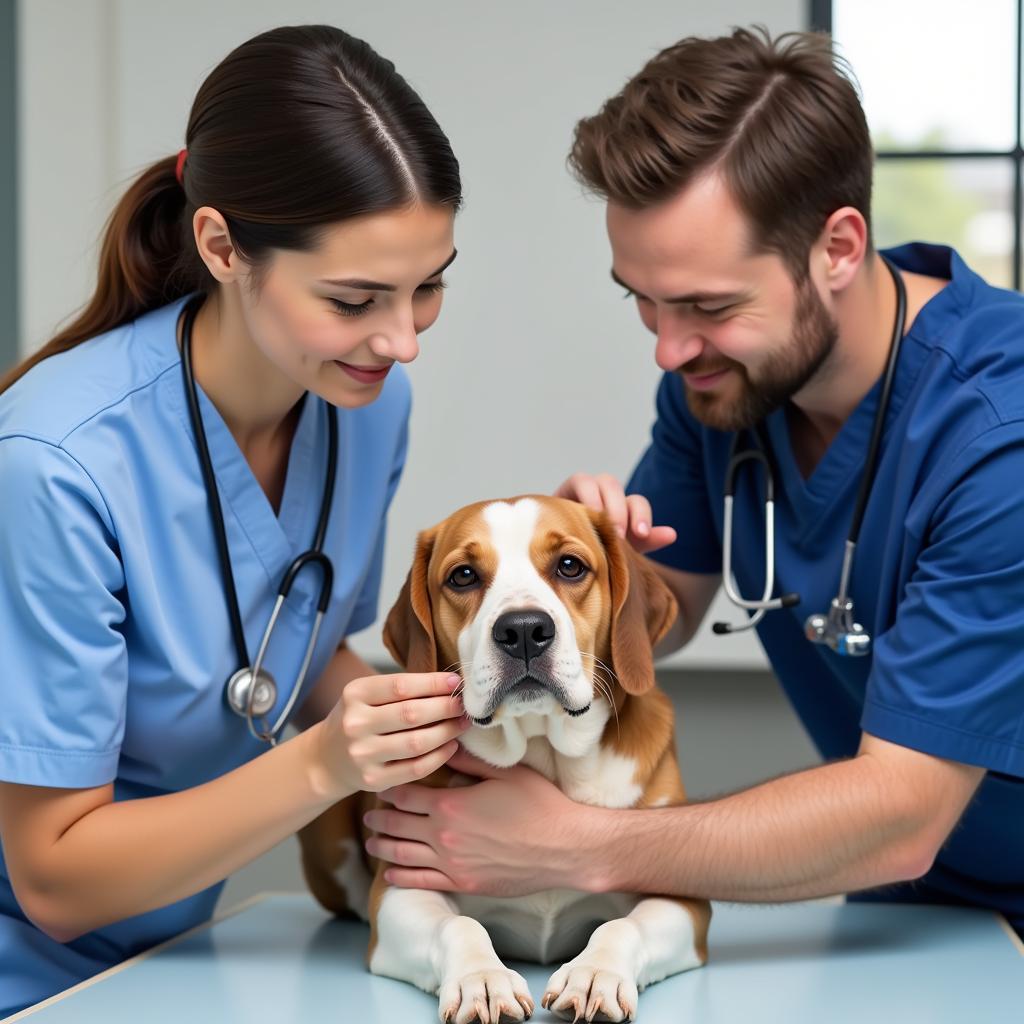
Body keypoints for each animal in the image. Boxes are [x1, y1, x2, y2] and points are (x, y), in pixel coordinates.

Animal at [299, 493, 708, 1015]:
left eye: (570, 566)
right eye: (463, 575)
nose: (525, 630)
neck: (545, 751)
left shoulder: (683, 898)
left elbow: (623, 926)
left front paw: (596, 972)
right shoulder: (401, 891)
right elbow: (460, 924)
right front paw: (482, 977)